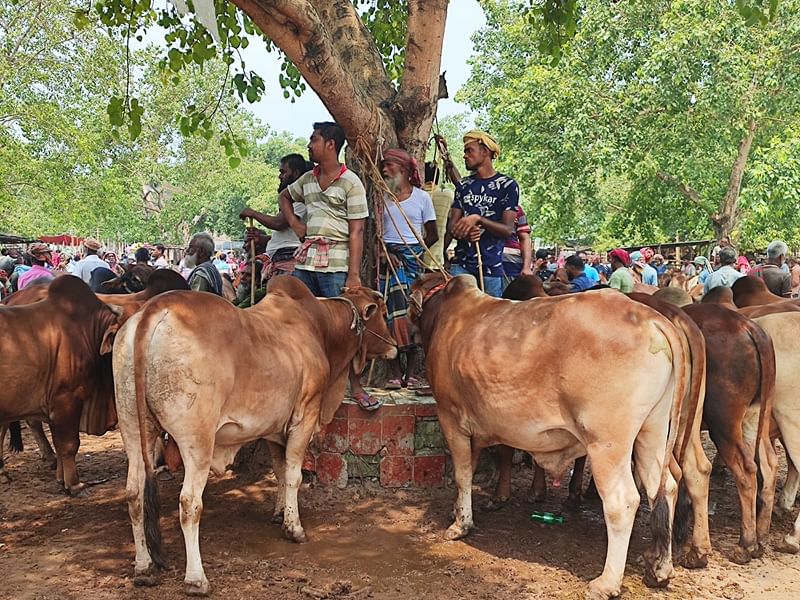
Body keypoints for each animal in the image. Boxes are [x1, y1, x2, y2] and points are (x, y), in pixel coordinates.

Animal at [112, 276, 396, 596]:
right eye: (383, 311)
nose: (395, 347)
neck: (320, 326)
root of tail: (153, 309)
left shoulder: (274, 429)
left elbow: (280, 471)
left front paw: (280, 513)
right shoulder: (305, 416)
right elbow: (294, 475)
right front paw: (294, 528)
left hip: (133, 429)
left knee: (134, 494)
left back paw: (144, 567)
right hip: (197, 440)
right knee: (188, 503)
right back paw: (196, 578)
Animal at [412, 274, 688, 596]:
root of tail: (650, 318)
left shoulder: (450, 417)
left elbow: (462, 473)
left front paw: (460, 525)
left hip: (607, 443)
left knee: (623, 501)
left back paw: (606, 583)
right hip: (652, 431)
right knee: (664, 486)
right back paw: (660, 568)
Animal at [680, 304, 780, 564]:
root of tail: (749, 327)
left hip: (723, 424)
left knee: (746, 471)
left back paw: (745, 544)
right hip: (755, 417)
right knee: (768, 464)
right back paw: (761, 538)